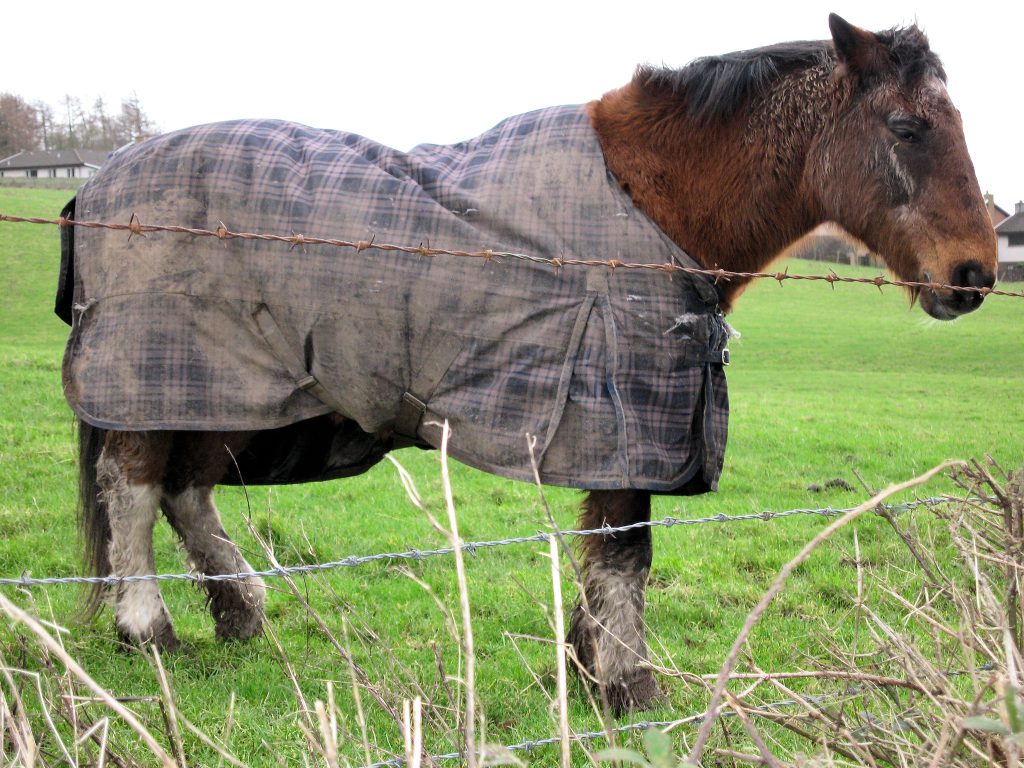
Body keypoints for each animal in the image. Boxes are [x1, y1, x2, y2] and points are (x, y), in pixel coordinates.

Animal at [57, 14, 996, 715]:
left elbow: (602, 555)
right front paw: (626, 685)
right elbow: (623, 554)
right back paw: (148, 629)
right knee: (134, 486)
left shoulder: (620, 426)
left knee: (186, 488)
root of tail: (102, 178)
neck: (653, 201)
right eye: (907, 128)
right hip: (157, 376)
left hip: (234, 390)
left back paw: (240, 611)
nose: (976, 275)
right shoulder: (626, 422)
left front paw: (587, 664)